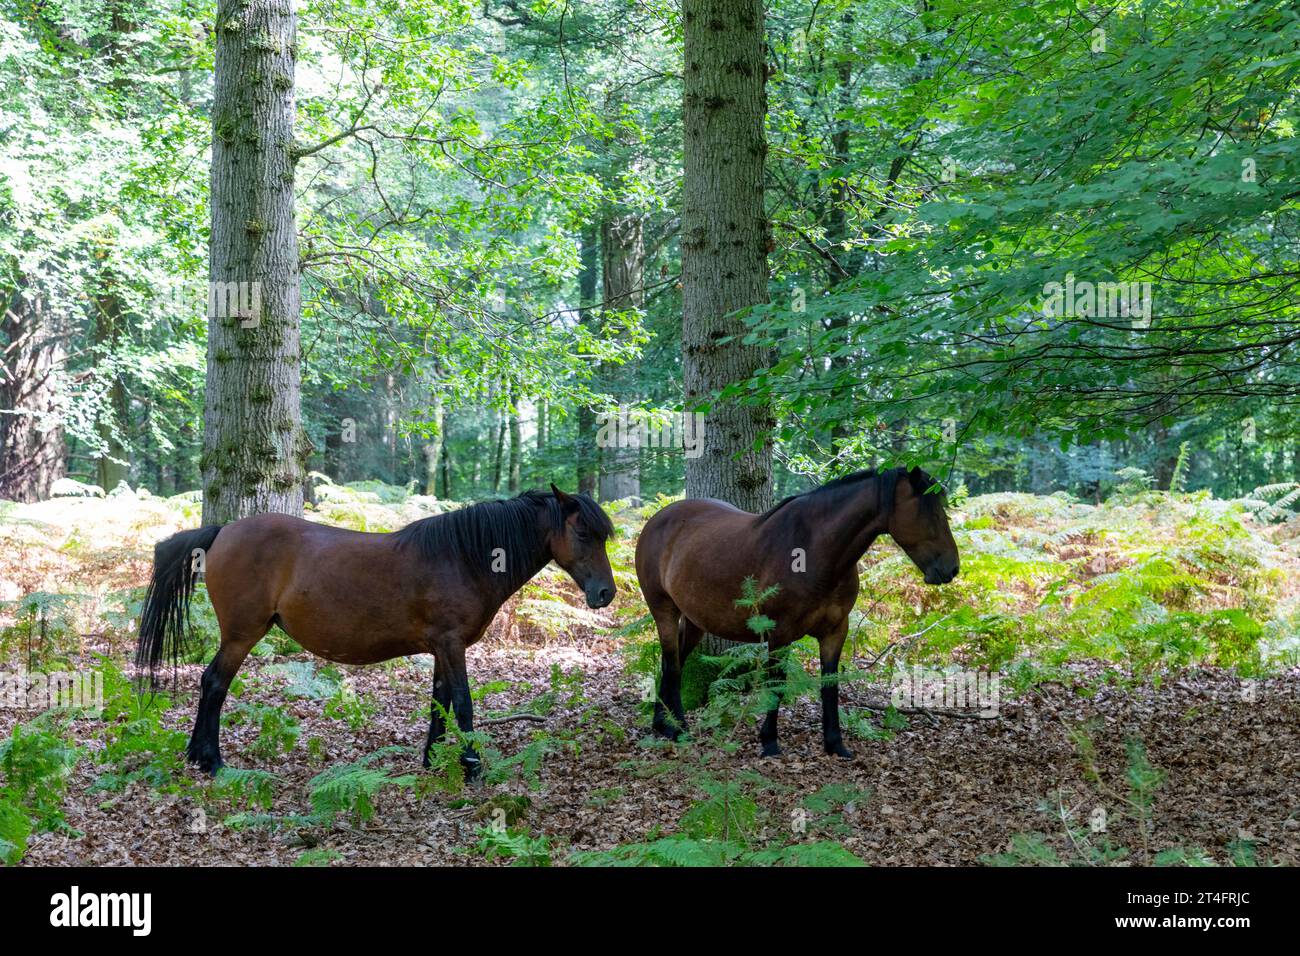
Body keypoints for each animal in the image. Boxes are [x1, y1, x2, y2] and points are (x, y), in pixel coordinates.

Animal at [137, 486, 613, 780]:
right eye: (583, 532)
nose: (605, 593)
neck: (465, 556)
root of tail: (223, 532)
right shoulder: (452, 645)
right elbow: (462, 704)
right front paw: (472, 767)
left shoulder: (440, 648)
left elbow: (439, 703)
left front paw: (431, 762)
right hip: (241, 635)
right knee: (215, 684)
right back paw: (212, 761)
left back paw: (198, 757)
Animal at [634, 468, 961, 759]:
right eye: (930, 512)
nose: (951, 568)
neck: (814, 552)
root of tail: (658, 520)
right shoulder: (780, 633)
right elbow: (776, 684)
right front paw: (769, 742)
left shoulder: (835, 631)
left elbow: (830, 686)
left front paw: (835, 744)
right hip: (664, 609)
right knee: (673, 664)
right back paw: (678, 728)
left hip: (694, 619)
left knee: (672, 661)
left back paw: (662, 724)